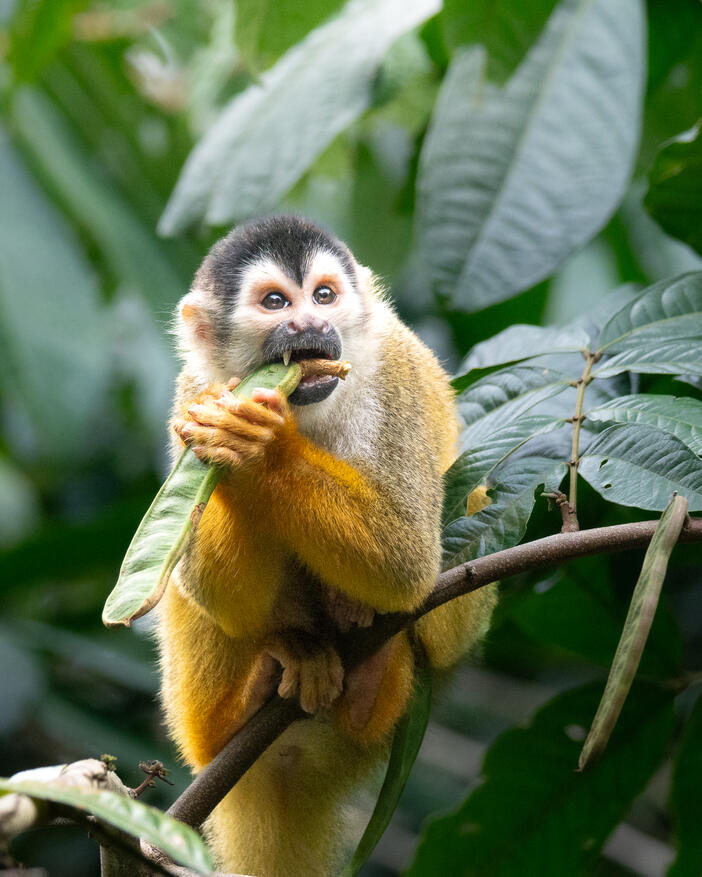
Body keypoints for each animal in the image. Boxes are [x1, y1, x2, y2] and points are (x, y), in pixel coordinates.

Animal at [157, 215, 496, 877]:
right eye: (275, 303)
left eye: (323, 296)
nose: (310, 326)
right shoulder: (194, 395)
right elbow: (216, 594)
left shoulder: (395, 373)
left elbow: (406, 558)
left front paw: (263, 445)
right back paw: (250, 695)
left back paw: (370, 676)